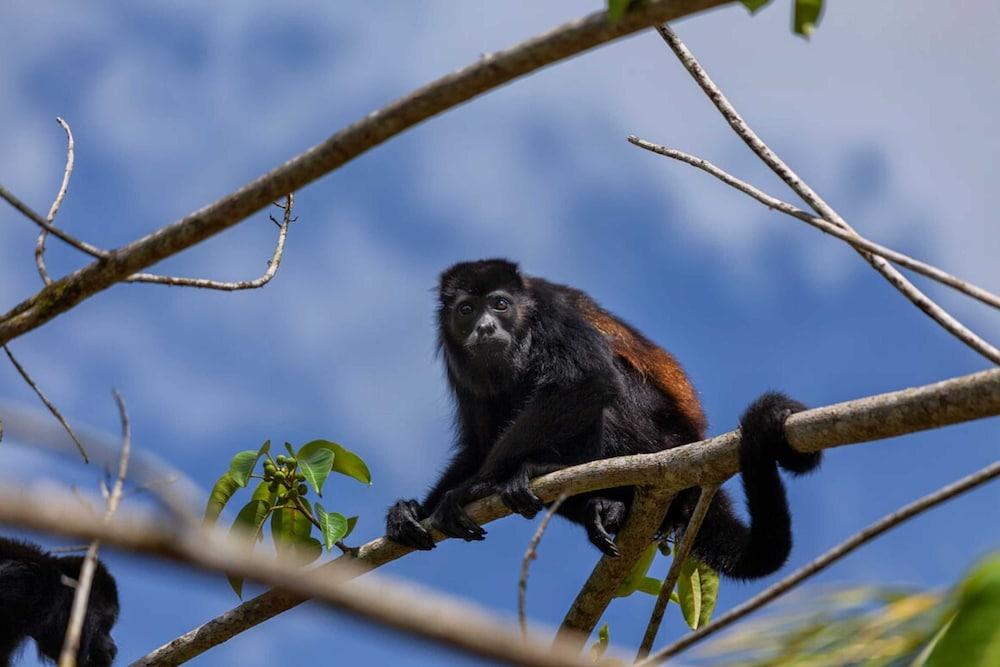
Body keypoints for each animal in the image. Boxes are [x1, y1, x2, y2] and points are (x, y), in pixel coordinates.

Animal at [384, 258, 820, 580]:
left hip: (661, 435)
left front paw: (476, 487)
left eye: (500, 305)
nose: (485, 326)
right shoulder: (456, 361)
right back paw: (602, 507)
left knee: (607, 393)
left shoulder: (551, 311)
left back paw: (547, 469)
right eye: (466, 310)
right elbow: (477, 443)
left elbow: (588, 380)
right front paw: (413, 511)